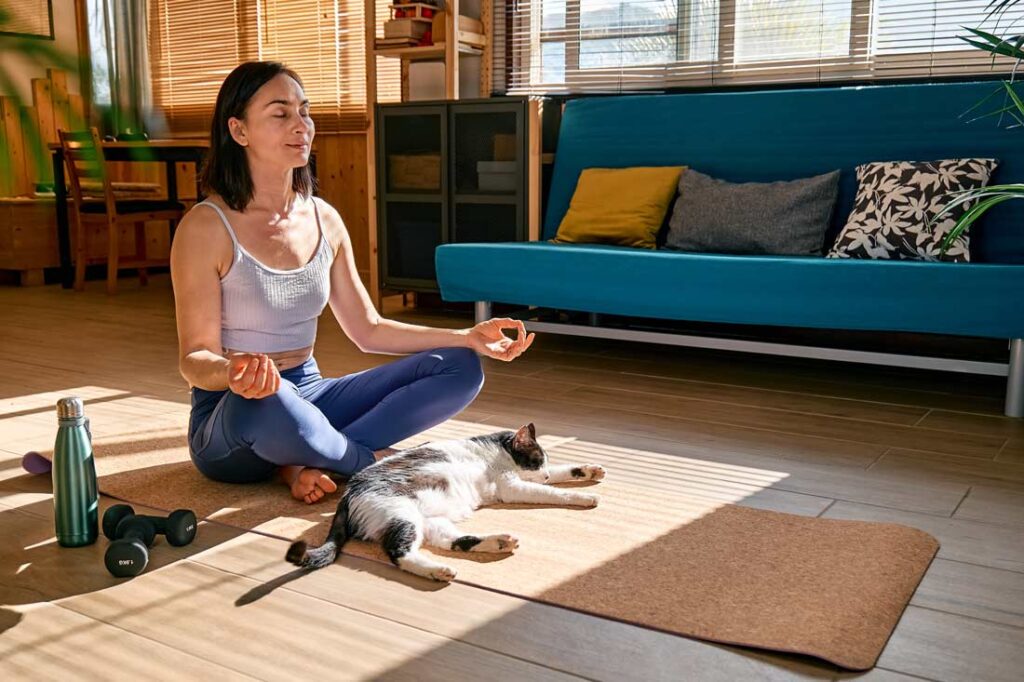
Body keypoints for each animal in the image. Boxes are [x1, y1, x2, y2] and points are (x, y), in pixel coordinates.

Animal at [284, 419, 602, 577]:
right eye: (536, 460)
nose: (544, 473)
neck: (495, 450)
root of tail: (348, 493)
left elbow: (564, 471)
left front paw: (589, 470)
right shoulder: (511, 486)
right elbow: (552, 493)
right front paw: (584, 496)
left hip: (431, 521)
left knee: (454, 541)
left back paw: (498, 542)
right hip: (402, 515)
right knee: (399, 553)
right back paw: (439, 570)